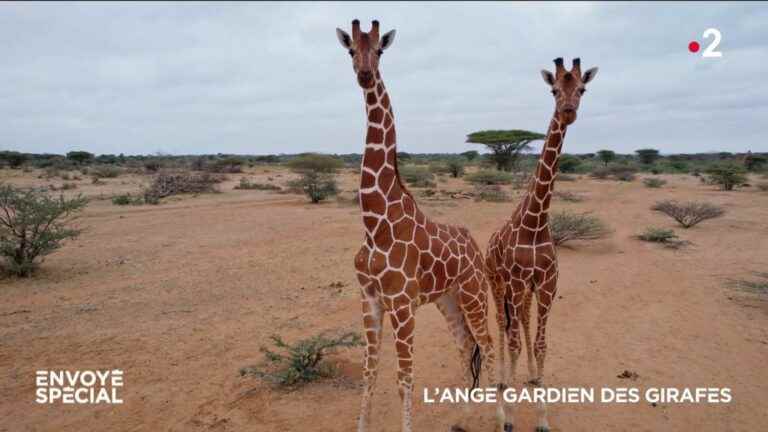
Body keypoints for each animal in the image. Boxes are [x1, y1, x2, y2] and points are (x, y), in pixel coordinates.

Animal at [336, 19, 504, 432]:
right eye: (350, 50)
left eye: (380, 49)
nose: (364, 74)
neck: (375, 223)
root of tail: (474, 245)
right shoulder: (370, 299)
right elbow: (370, 373)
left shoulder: (401, 304)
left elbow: (404, 379)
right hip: (447, 298)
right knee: (465, 345)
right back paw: (462, 418)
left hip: (474, 292)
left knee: (488, 345)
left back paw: (499, 420)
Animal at [486, 58, 600, 432]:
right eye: (553, 90)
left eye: (582, 88)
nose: (568, 111)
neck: (535, 224)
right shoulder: (517, 281)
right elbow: (515, 342)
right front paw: (508, 416)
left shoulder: (547, 283)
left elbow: (540, 344)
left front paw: (542, 415)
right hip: (498, 284)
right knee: (502, 326)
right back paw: (501, 386)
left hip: (524, 291)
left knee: (519, 323)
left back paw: (529, 378)